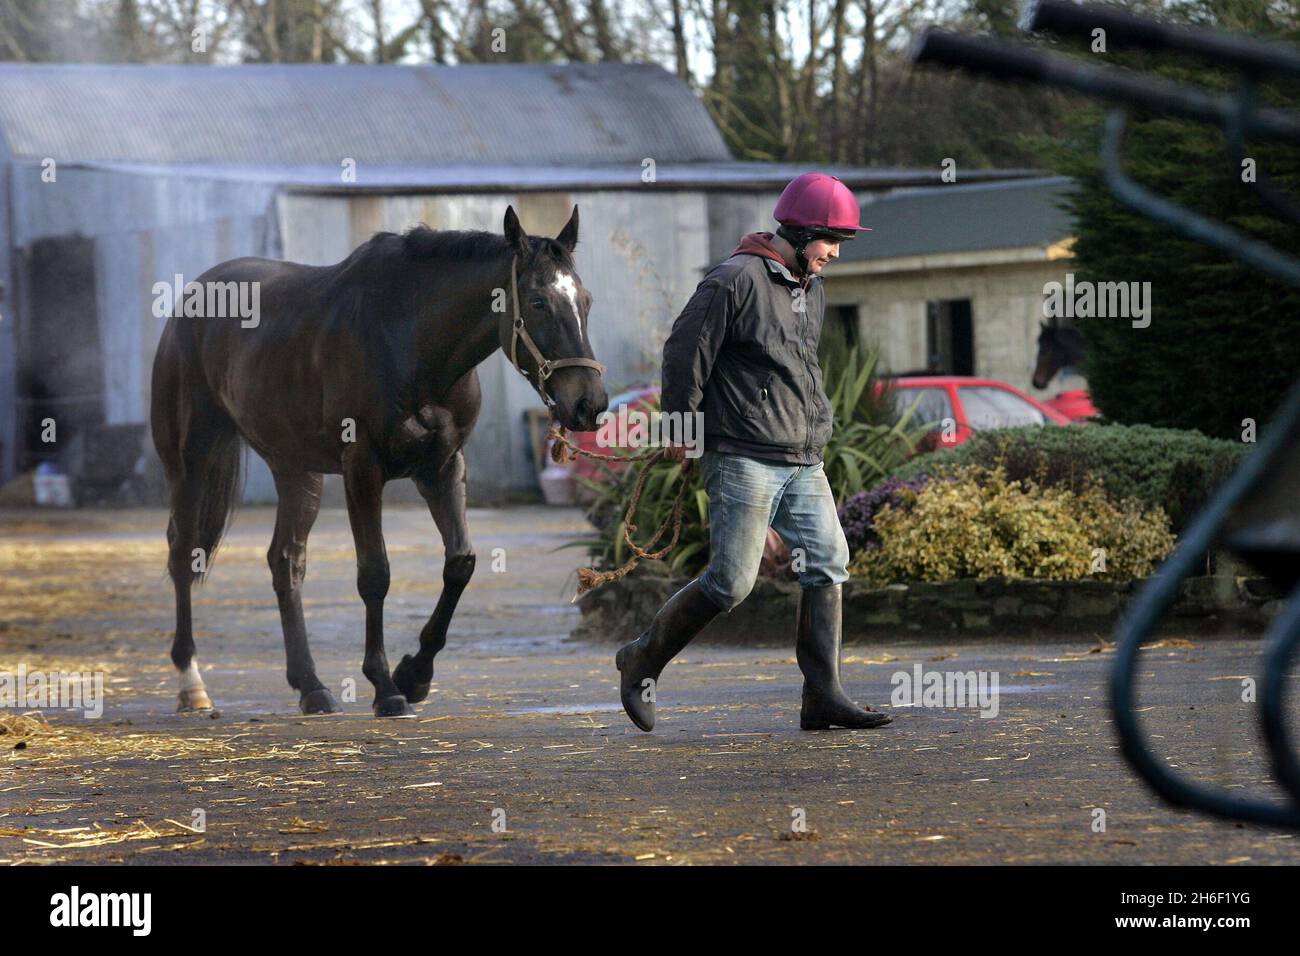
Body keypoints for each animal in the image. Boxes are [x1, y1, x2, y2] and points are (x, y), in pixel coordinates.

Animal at [149, 208, 605, 717]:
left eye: (585, 300)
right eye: (540, 302)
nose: (589, 403)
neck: (410, 337)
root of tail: (193, 297)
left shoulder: (443, 467)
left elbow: (460, 564)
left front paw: (415, 674)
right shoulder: (362, 468)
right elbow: (375, 574)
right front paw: (386, 687)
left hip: (295, 469)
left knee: (286, 560)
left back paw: (311, 686)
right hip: (191, 460)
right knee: (182, 551)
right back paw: (192, 684)